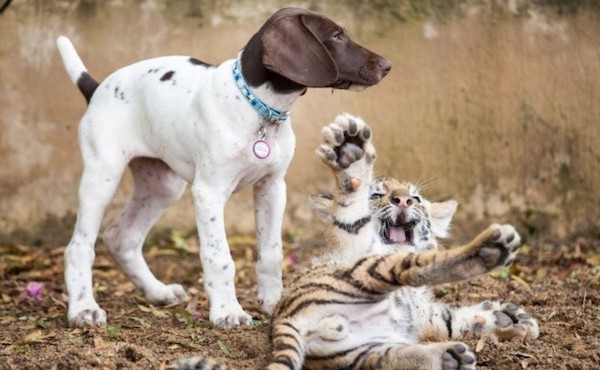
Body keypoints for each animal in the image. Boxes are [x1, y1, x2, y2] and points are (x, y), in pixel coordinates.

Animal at [58, 7, 392, 328]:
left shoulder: (273, 188)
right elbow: (219, 257)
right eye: (336, 36)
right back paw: (84, 308)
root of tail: (97, 88)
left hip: (162, 186)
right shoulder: (209, 193)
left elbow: (271, 253)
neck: (258, 108)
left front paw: (274, 302)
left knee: (122, 237)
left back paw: (157, 292)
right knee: (79, 246)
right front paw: (227, 312)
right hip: (103, 177)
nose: (387, 65)